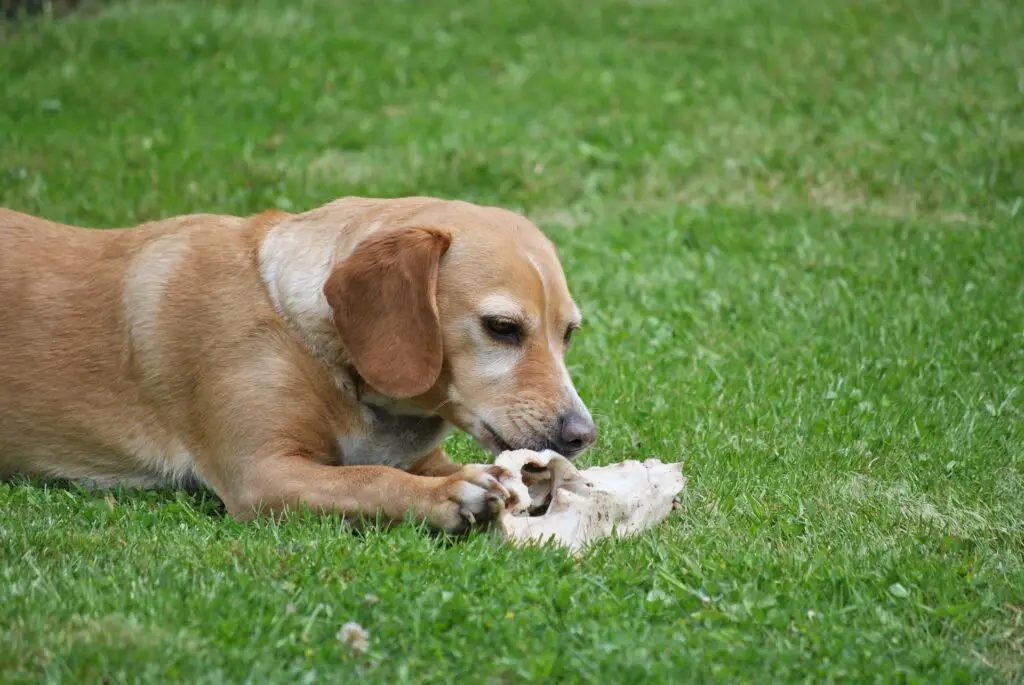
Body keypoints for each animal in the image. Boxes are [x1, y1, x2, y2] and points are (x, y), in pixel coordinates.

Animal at [0, 194, 598, 532]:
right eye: (502, 328)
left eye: (568, 333)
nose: (582, 435)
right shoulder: (260, 473)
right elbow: (367, 478)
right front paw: (441, 497)